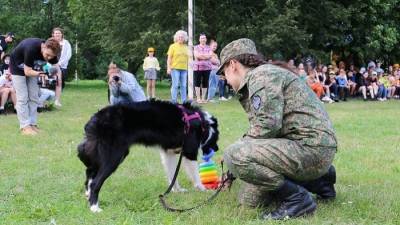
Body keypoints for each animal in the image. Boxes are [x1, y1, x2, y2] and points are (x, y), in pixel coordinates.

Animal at [76, 99, 217, 212]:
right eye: (216, 140)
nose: (217, 149)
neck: (202, 121)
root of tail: (96, 118)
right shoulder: (189, 151)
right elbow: (195, 174)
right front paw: (202, 188)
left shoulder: (169, 153)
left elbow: (172, 174)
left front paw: (177, 190)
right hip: (114, 156)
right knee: (95, 182)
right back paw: (94, 207)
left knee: (89, 174)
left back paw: (88, 196)